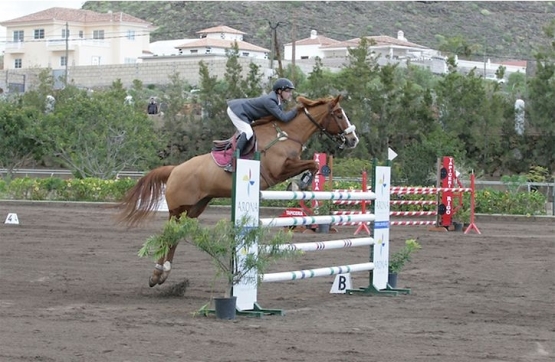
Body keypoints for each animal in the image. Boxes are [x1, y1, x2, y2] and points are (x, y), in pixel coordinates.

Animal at [117, 94, 360, 288]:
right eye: (339, 115)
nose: (353, 140)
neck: (286, 133)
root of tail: (175, 169)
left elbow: (314, 164)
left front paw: (303, 182)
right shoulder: (278, 170)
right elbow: (313, 164)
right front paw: (302, 182)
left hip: (195, 208)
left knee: (175, 236)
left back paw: (163, 273)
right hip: (178, 209)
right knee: (169, 235)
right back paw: (157, 274)